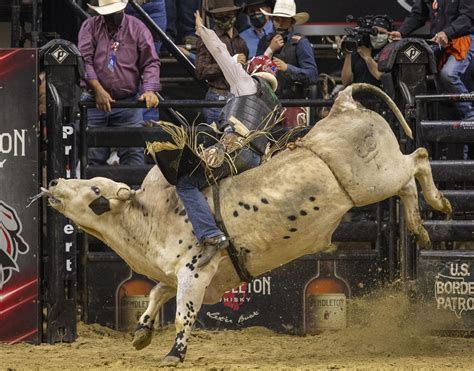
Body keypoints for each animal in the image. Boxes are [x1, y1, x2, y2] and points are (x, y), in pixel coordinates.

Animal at [40, 84, 452, 366]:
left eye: (94, 189)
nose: (55, 182)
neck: (150, 217)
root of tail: (343, 104)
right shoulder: (185, 277)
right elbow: (157, 292)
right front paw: (141, 331)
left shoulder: (195, 272)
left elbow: (182, 313)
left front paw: (174, 353)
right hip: (379, 181)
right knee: (409, 182)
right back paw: (420, 227)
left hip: (374, 181)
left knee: (417, 158)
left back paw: (437, 202)